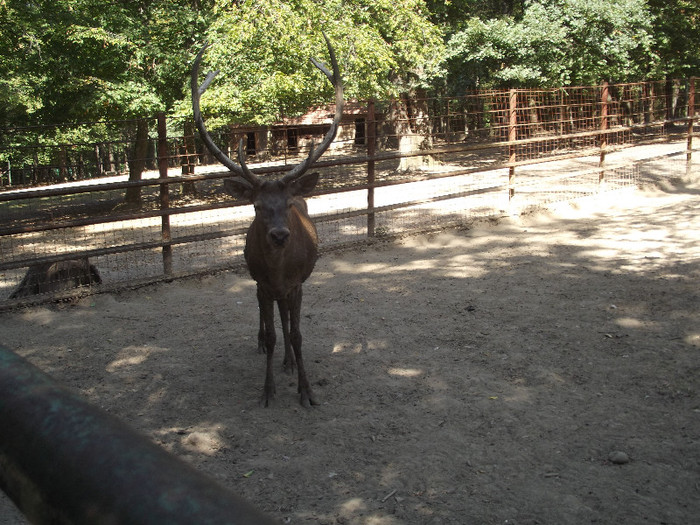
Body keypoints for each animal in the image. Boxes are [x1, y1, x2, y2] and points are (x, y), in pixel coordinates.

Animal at [191, 33, 344, 410]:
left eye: (287, 204)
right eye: (257, 206)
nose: (279, 235)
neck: (278, 270)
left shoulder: (297, 283)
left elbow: (297, 334)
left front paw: (306, 390)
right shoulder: (262, 282)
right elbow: (274, 332)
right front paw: (268, 389)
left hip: (289, 289)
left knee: (286, 317)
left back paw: (289, 362)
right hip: (260, 285)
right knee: (267, 317)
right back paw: (263, 344)